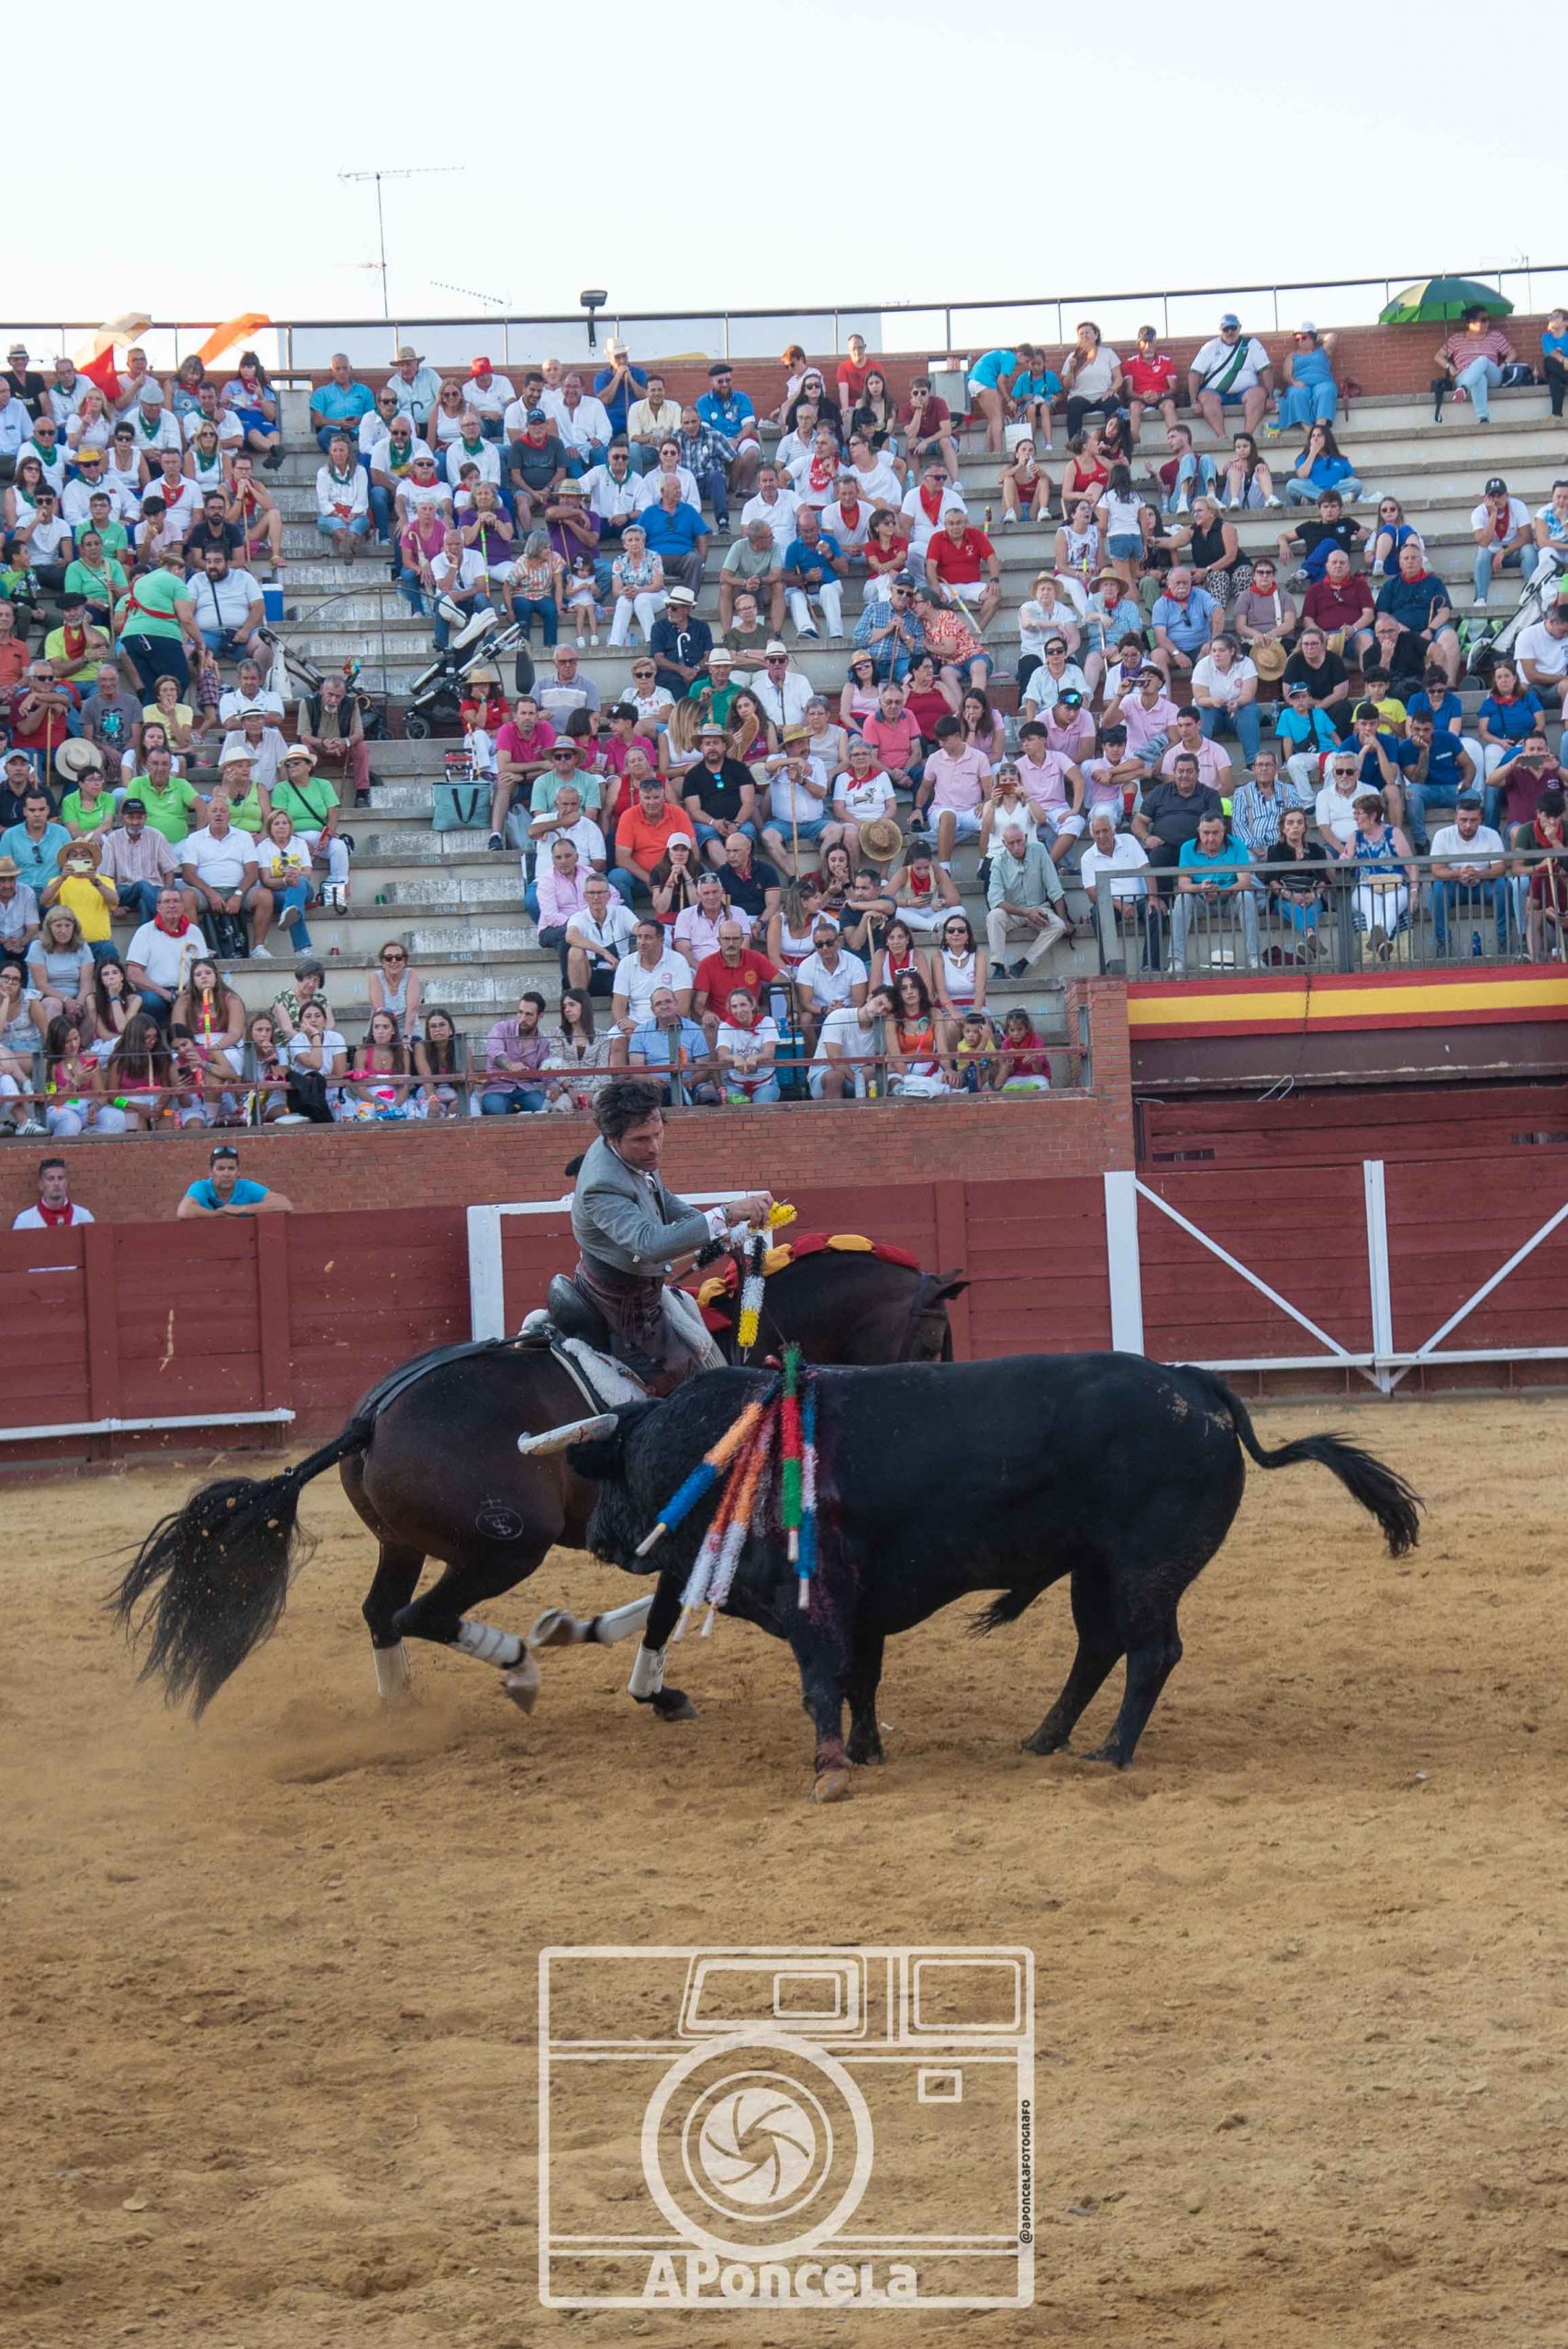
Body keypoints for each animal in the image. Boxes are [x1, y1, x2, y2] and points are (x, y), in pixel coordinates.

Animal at [113, 1244, 965, 1720]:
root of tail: (373, 1419)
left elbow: (661, 1602)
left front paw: (585, 1632)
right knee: (423, 1615)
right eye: (929, 1339)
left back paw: (403, 1709)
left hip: (404, 1543)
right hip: (505, 1547)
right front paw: (650, 1688)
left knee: (382, 1612)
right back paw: (518, 1669)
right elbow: (668, 1610)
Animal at [566, 1353, 1421, 1800]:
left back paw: (1110, 1752)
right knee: (1098, 1648)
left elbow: (821, 1683)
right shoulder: (860, 1608)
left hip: (1145, 1568)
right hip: (1094, 1571)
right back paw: (1045, 1737)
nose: (601, 1538)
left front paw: (831, 1770)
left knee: (1150, 1652)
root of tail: (1195, 1383)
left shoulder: (814, 1603)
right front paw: (866, 1751)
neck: (725, 1446)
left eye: (613, 1469)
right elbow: (860, 1679)